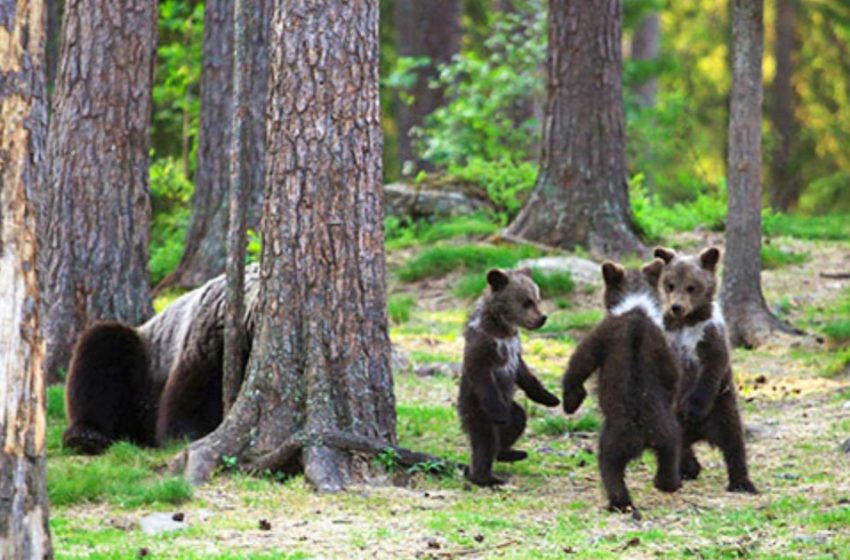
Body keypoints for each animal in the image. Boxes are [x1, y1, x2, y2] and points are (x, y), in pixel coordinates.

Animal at [63, 264, 258, 452]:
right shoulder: (211, 335)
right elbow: (193, 395)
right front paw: (186, 436)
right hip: (144, 362)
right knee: (101, 352)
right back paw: (86, 436)